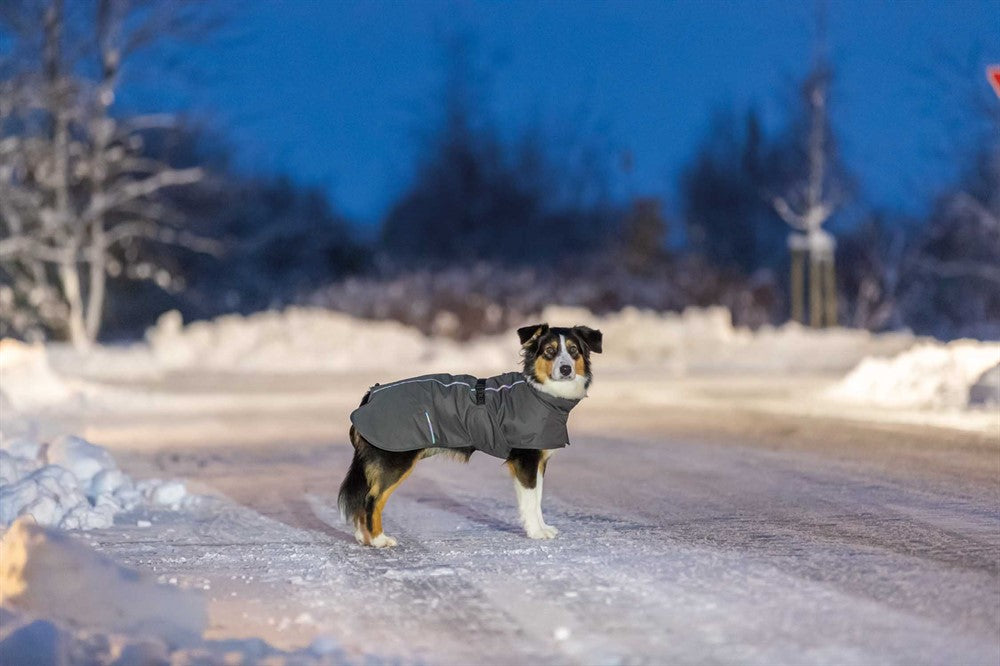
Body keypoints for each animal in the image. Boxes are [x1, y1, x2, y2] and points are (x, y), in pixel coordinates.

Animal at [336, 322, 600, 544]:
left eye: (573, 350)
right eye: (549, 351)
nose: (565, 369)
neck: (540, 390)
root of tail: (370, 395)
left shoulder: (538, 460)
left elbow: (538, 498)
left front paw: (543, 527)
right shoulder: (525, 459)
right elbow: (530, 501)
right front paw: (536, 532)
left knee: (362, 497)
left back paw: (363, 537)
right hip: (394, 460)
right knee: (371, 499)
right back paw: (378, 540)